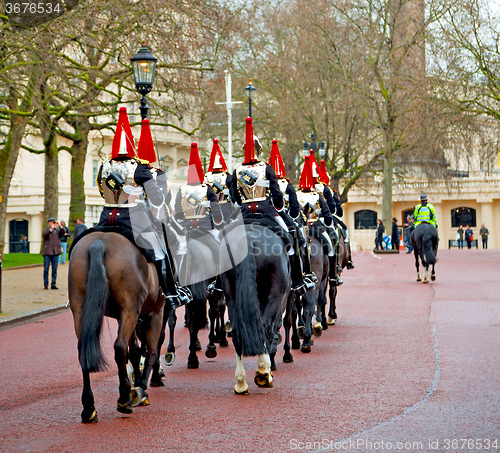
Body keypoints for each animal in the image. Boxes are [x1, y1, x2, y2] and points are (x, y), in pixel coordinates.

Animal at [67, 231, 165, 422]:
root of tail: (99, 243)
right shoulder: (156, 311)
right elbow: (151, 351)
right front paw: (141, 387)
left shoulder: (127, 316)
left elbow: (135, 351)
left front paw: (139, 385)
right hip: (130, 309)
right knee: (120, 347)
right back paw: (124, 399)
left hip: (81, 309)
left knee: (84, 351)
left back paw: (89, 408)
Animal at [220, 220, 292, 392]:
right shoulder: (282, 299)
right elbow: (275, 327)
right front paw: (268, 367)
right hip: (274, 294)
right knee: (265, 327)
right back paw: (263, 372)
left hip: (232, 294)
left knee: (237, 330)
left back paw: (241, 382)